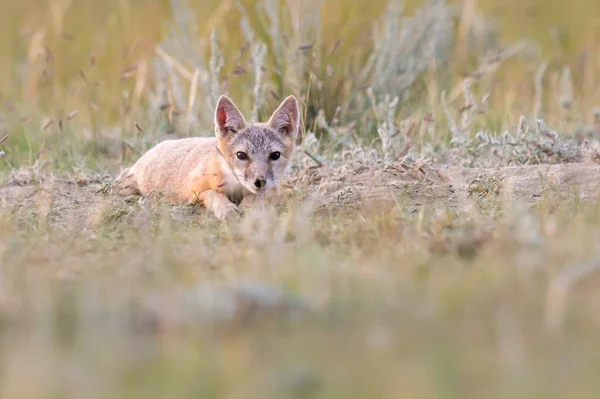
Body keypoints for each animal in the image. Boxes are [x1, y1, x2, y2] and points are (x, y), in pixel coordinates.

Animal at [115, 96, 300, 222]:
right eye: (241, 155)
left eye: (275, 155)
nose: (259, 181)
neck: (236, 187)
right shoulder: (193, 189)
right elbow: (214, 194)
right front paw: (227, 208)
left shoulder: (272, 188)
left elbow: (257, 196)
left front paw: (248, 206)